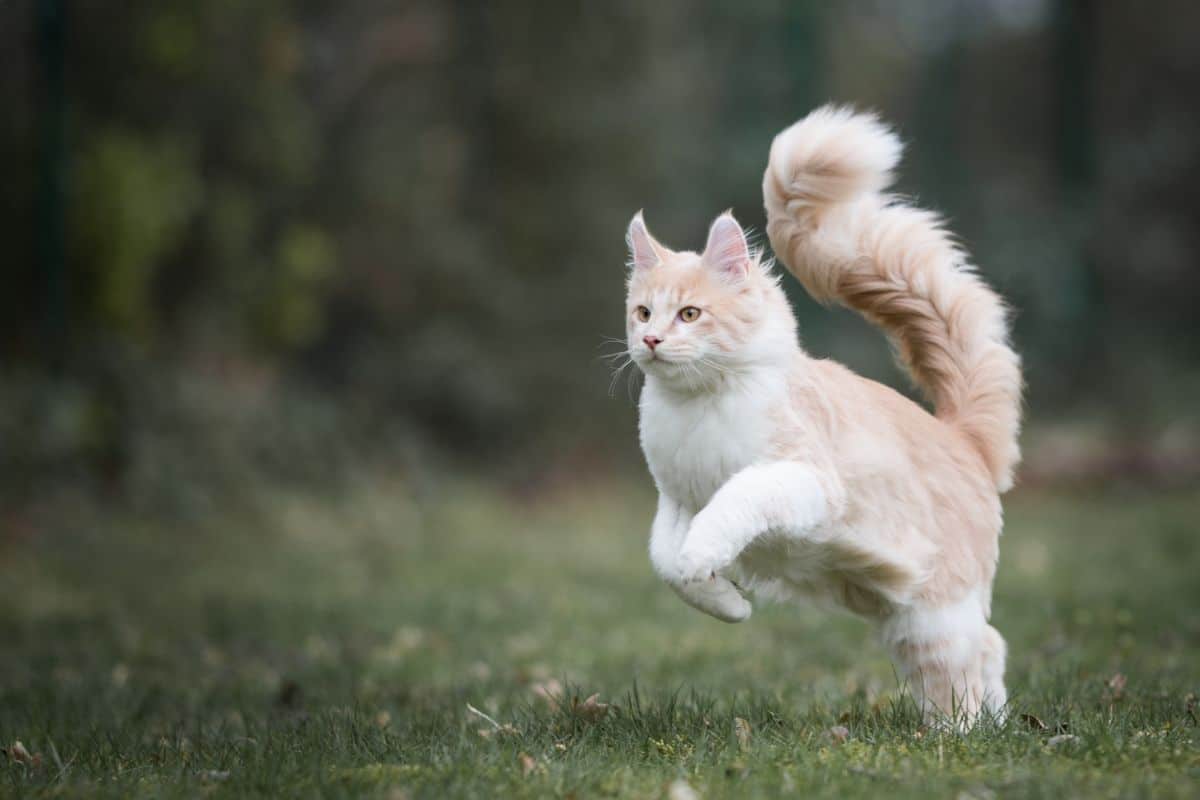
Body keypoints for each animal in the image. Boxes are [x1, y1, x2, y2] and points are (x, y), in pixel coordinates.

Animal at [628, 104, 1022, 724]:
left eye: (690, 314)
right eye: (643, 311)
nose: (650, 340)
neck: (696, 406)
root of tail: (963, 438)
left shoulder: (802, 479)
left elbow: (733, 503)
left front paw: (707, 557)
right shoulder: (676, 500)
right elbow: (665, 560)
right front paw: (727, 602)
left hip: (935, 616)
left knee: (971, 663)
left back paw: (962, 736)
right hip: (902, 616)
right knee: (987, 651)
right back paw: (989, 726)